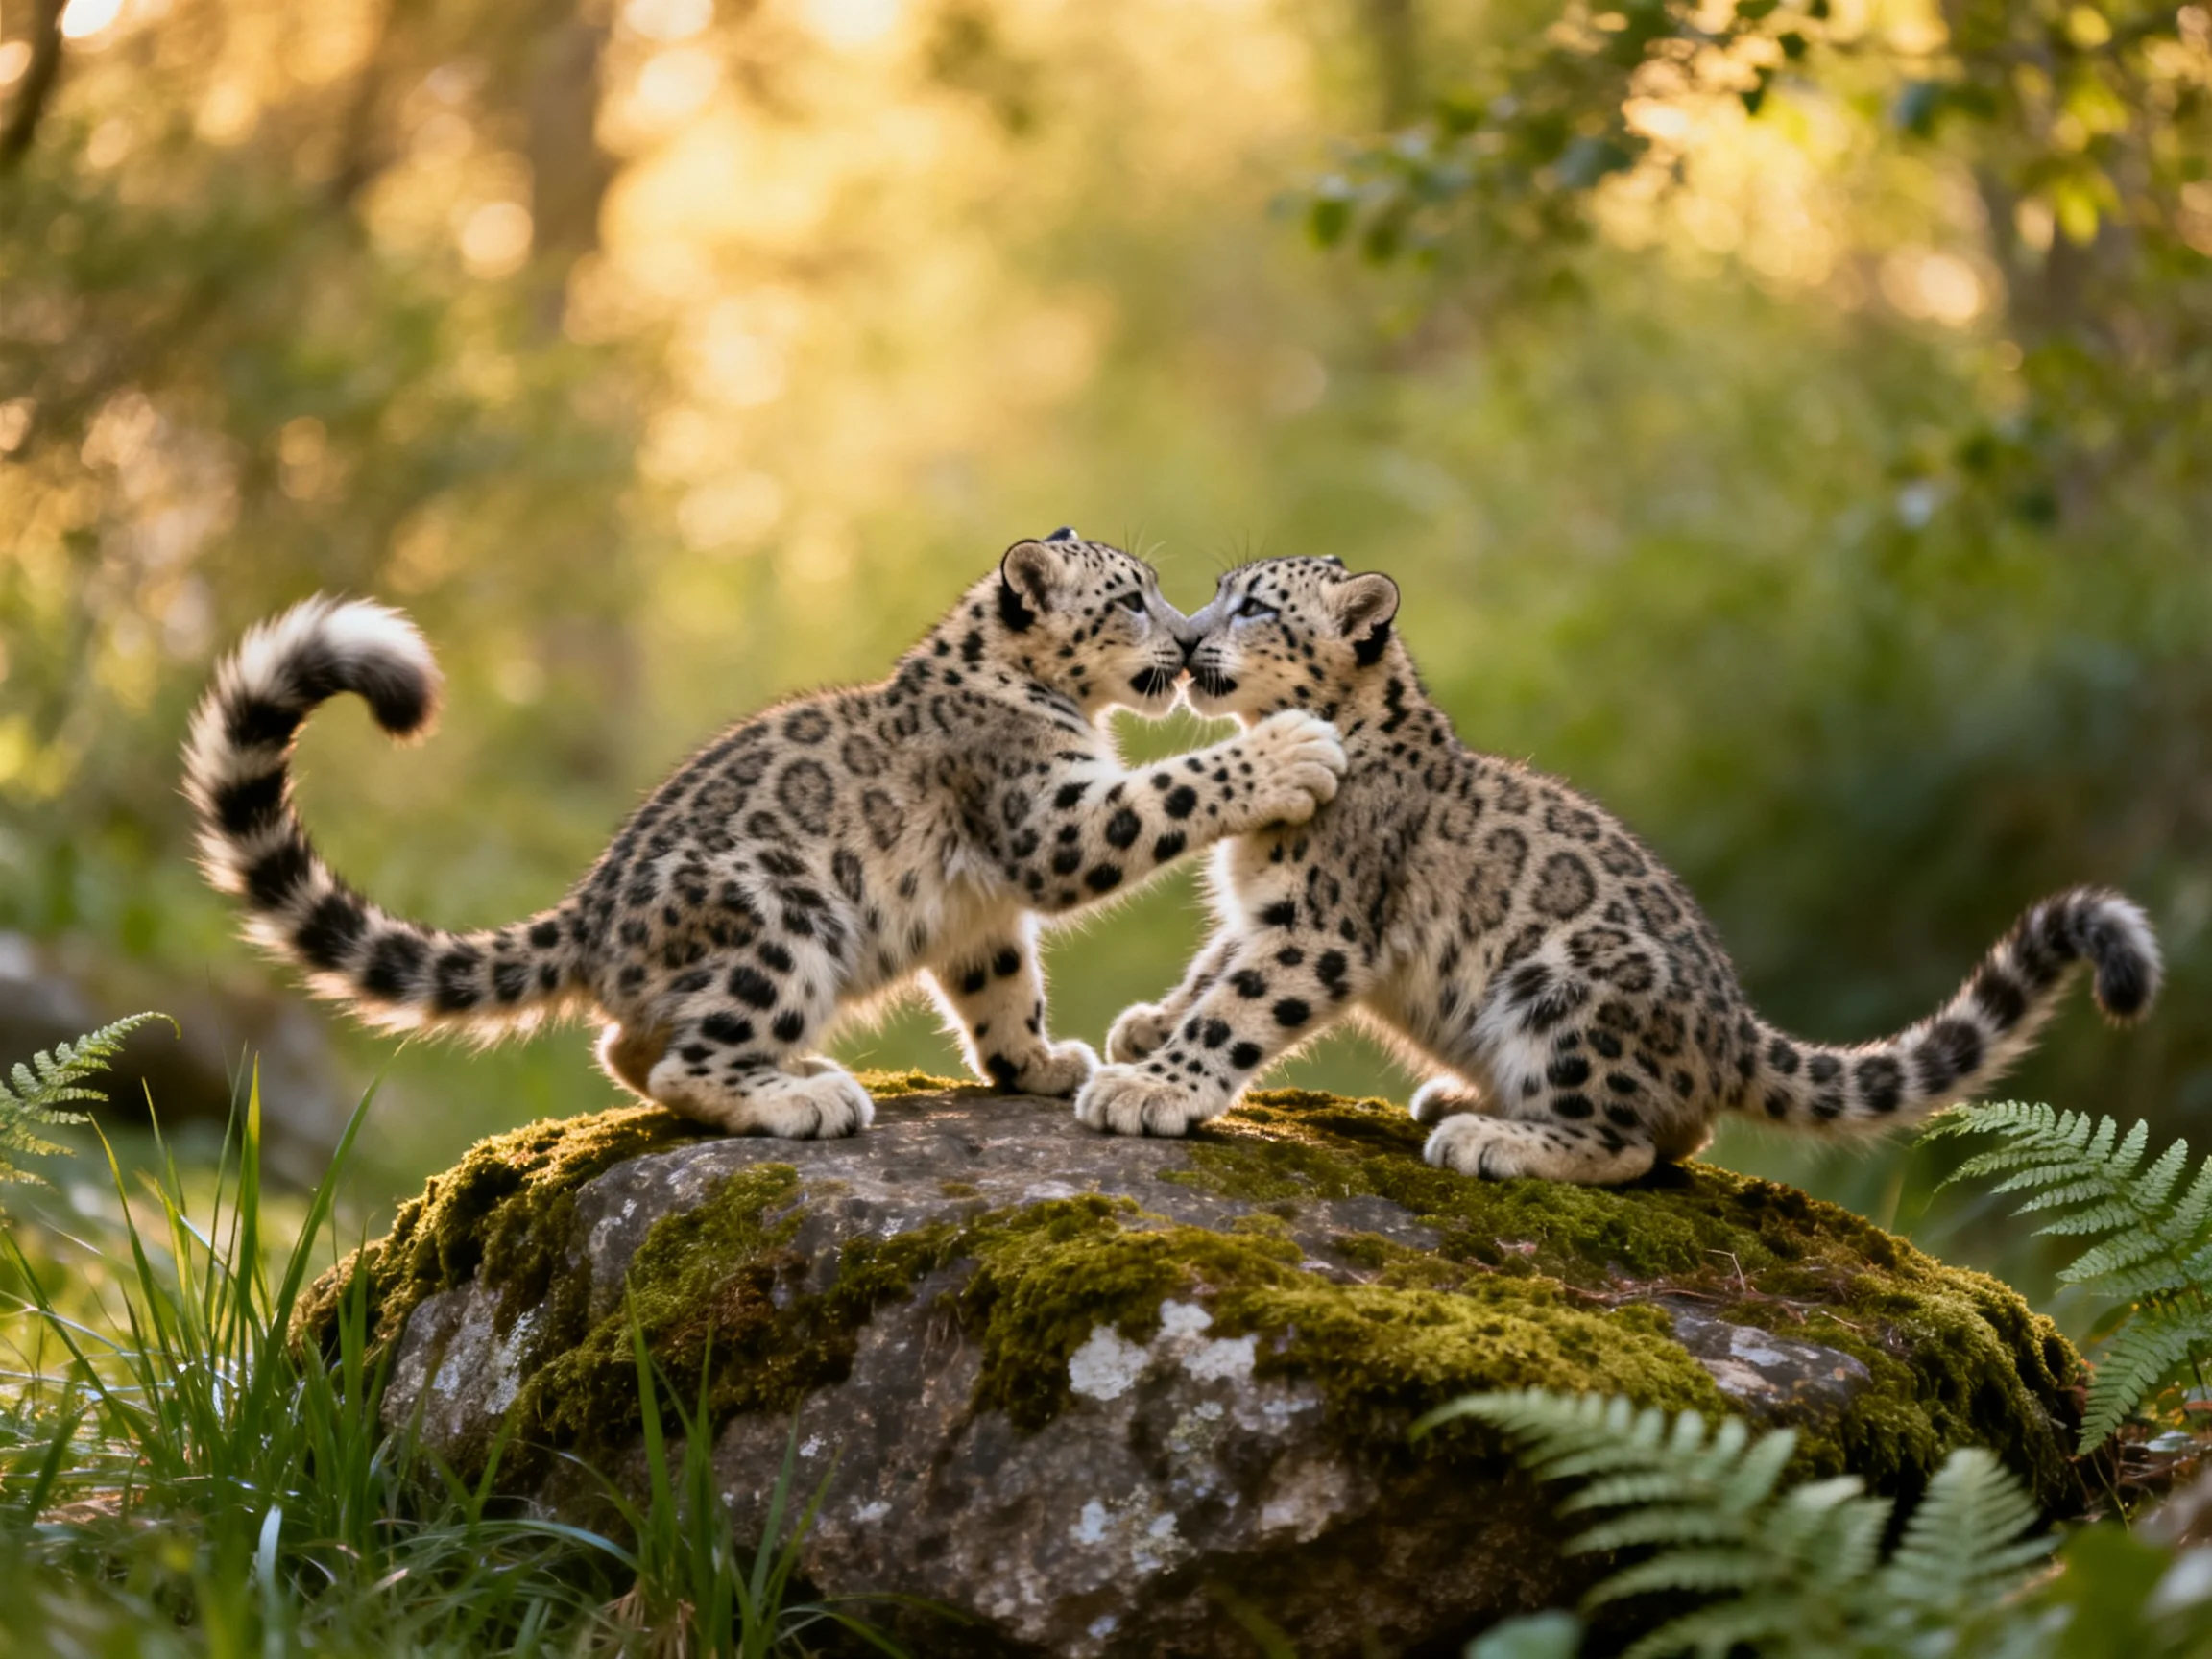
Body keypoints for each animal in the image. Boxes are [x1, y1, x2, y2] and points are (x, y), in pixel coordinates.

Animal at [183, 531, 1346, 1140]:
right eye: (1131, 598)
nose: (1188, 642)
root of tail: (588, 916)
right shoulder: (1051, 816)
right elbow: (1171, 790)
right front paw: (1292, 756)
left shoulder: (982, 913)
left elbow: (1000, 985)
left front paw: (1041, 1064)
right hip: (782, 919)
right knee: (684, 1063)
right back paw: (805, 1098)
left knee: (628, 1047)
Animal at [1076, 554, 2162, 1185]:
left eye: (1254, 606)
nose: (1185, 637)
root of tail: (1735, 1033)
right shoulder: (1259, 914)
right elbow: (1213, 968)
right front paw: (1146, 1031)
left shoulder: (1317, 927)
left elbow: (1240, 1007)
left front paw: (1149, 1088)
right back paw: (1465, 1099)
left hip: (1571, 982)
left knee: (1633, 1142)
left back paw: (1491, 1138)